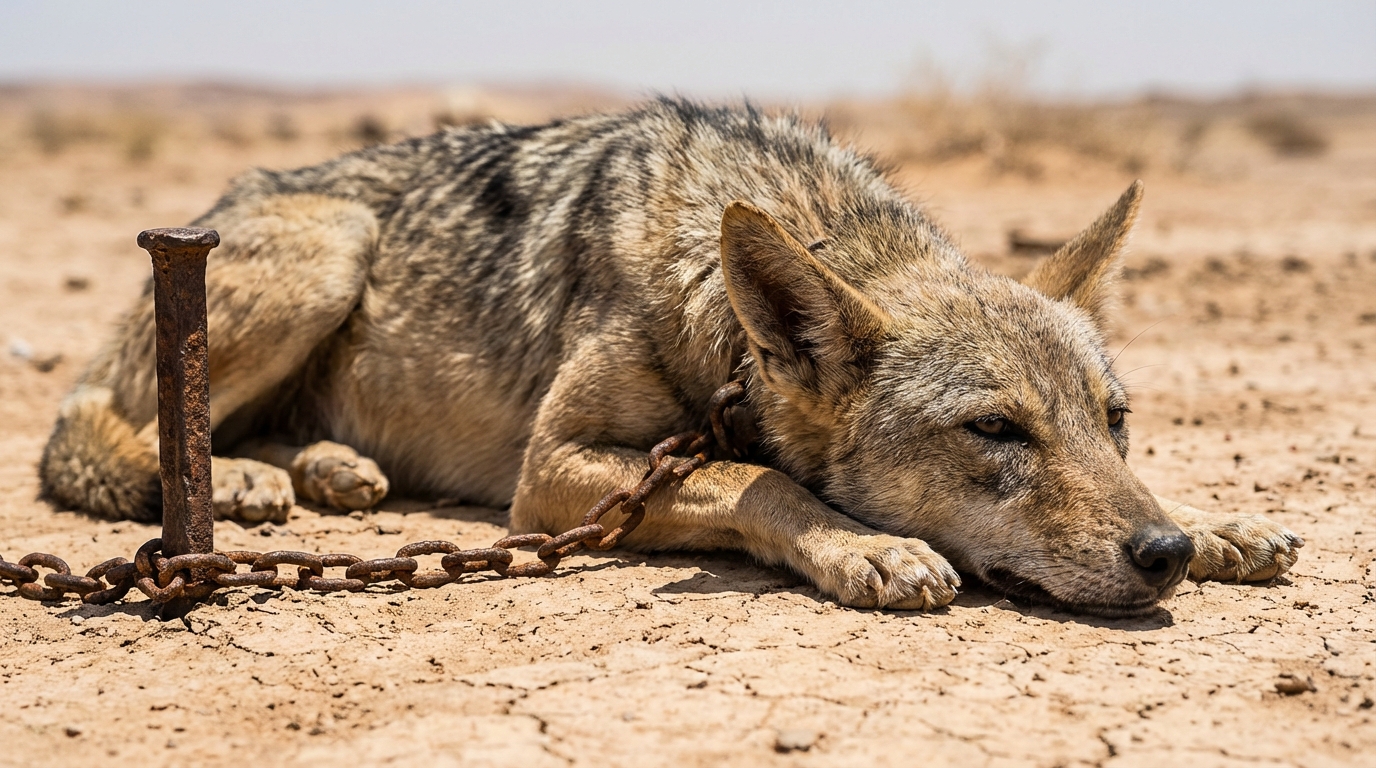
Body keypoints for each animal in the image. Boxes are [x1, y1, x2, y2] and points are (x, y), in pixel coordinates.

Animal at [39, 99, 1302, 615]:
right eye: (994, 431)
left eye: (1113, 420)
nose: (1161, 556)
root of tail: (235, 187)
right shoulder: (554, 474)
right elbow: (759, 480)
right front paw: (867, 549)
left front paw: (1219, 526)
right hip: (327, 253)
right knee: (93, 431)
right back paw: (248, 488)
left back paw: (324, 470)